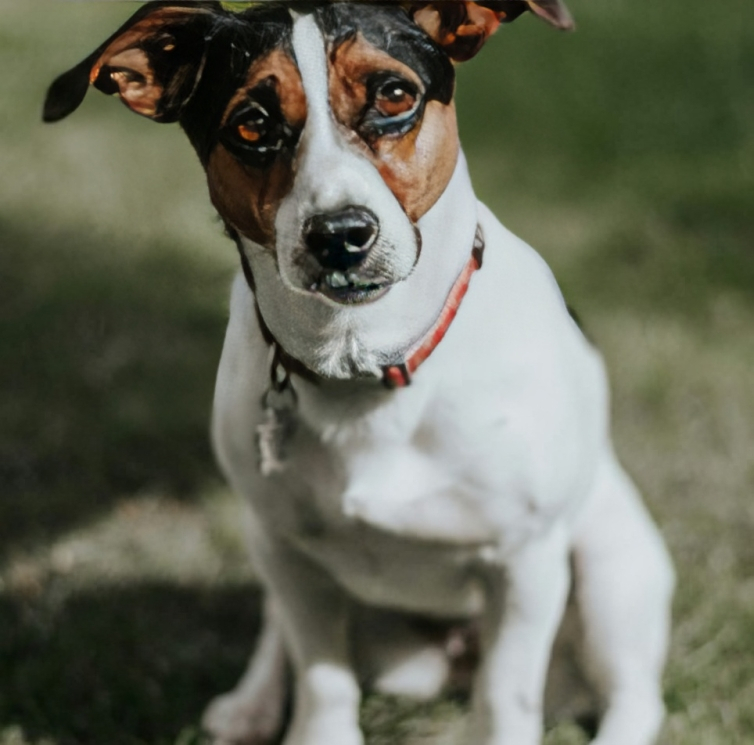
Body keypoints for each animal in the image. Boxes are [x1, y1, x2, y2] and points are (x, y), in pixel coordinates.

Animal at [44, 2, 672, 740]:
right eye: (250, 123)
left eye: (394, 95)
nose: (340, 234)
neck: (365, 364)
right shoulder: (291, 557)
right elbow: (321, 678)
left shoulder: (527, 562)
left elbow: (503, 698)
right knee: (277, 633)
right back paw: (251, 703)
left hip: (609, 566)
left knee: (634, 694)